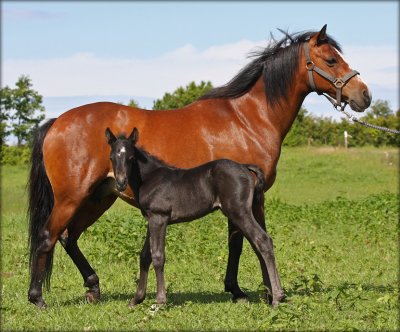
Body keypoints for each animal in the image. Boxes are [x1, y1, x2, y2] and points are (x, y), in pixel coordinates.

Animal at [104, 127, 282, 306]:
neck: (149, 178)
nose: (120, 183)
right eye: (111, 157)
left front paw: (160, 300)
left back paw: (277, 298)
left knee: (263, 240)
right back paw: (273, 295)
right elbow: (145, 256)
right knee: (258, 245)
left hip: (239, 212)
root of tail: (245, 167)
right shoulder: (151, 220)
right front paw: (136, 299)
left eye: (131, 158)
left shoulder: (159, 218)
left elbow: (158, 256)